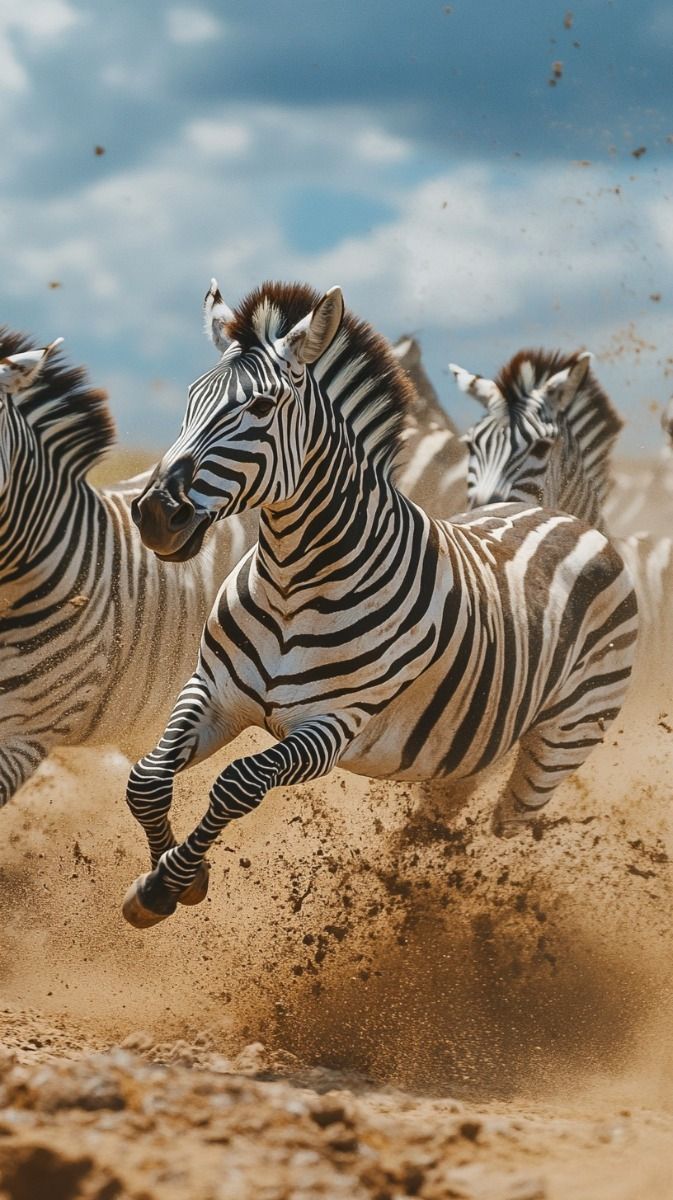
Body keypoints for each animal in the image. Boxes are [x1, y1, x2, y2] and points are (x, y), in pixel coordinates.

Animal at [119, 280, 638, 928]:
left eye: (260, 408)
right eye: (191, 399)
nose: (155, 514)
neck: (292, 581)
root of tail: (562, 515)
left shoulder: (335, 725)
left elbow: (238, 782)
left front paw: (171, 882)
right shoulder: (213, 689)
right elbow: (146, 779)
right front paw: (166, 876)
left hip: (562, 742)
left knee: (505, 831)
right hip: (474, 745)